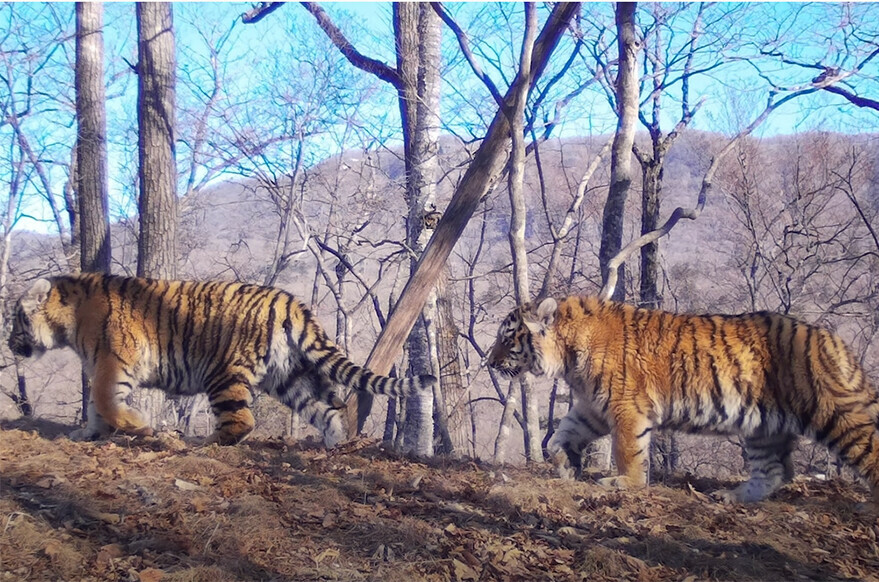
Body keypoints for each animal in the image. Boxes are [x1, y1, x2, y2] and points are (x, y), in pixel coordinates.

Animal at [6, 276, 434, 450]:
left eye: (15, 319)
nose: (9, 344)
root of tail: (288, 300)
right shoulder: (101, 367)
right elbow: (98, 407)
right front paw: (86, 434)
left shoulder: (112, 363)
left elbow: (107, 403)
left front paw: (139, 427)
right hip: (290, 377)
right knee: (330, 409)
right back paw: (332, 445)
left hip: (223, 374)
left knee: (242, 421)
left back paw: (202, 443)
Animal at [488, 296, 879, 506]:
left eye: (508, 339)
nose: (489, 362)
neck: (567, 353)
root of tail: (834, 340)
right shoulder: (593, 406)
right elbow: (563, 434)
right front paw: (567, 465)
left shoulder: (626, 407)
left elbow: (628, 450)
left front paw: (624, 484)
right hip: (764, 429)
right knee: (775, 471)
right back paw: (731, 497)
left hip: (837, 414)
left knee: (868, 451)